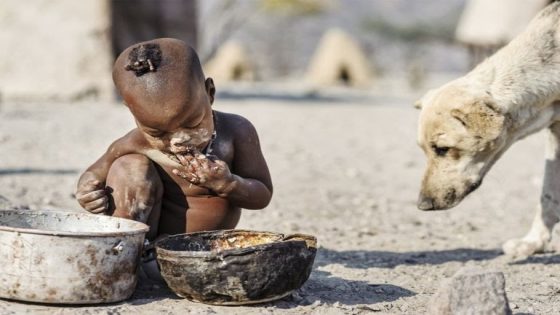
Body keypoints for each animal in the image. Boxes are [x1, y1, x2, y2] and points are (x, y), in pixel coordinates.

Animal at [416, 2, 560, 258]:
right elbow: (548, 194)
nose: (423, 205)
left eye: (443, 149)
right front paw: (534, 242)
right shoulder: (555, 131)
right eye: (423, 150)